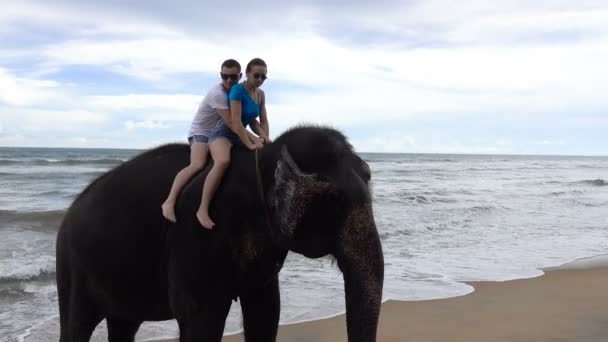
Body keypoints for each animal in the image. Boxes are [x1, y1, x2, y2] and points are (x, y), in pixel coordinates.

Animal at [55, 125, 380, 342]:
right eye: (334, 201)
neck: (263, 159)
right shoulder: (198, 230)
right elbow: (201, 318)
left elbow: (266, 310)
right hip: (71, 264)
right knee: (76, 326)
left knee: (124, 324)